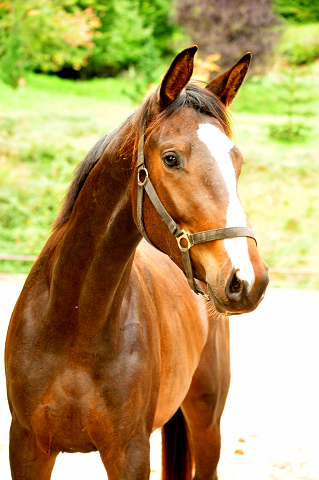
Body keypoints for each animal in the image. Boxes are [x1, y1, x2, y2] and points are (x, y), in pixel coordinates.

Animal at [5, 46, 270, 480]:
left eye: (238, 161)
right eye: (171, 158)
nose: (248, 279)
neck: (74, 322)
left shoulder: (129, 451)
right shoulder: (27, 447)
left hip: (206, 419)